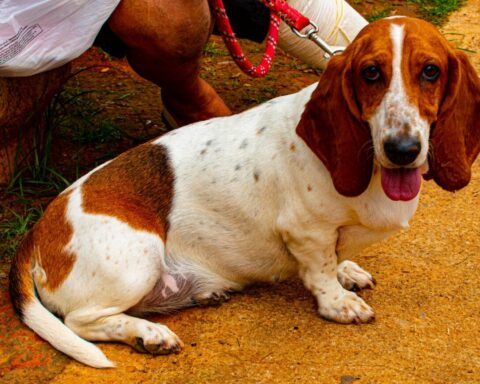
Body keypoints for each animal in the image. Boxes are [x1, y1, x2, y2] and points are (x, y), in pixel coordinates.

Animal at [8, 16, 480, 368]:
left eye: (431, 71)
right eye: (371, 73)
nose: (403, 150)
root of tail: (38, 229)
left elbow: (337, 256)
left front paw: (348, 270)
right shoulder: (304, 232)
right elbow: (321, 270)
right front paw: (338, 302)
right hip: (138, 258)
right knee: (80, 322)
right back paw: (149, 335)